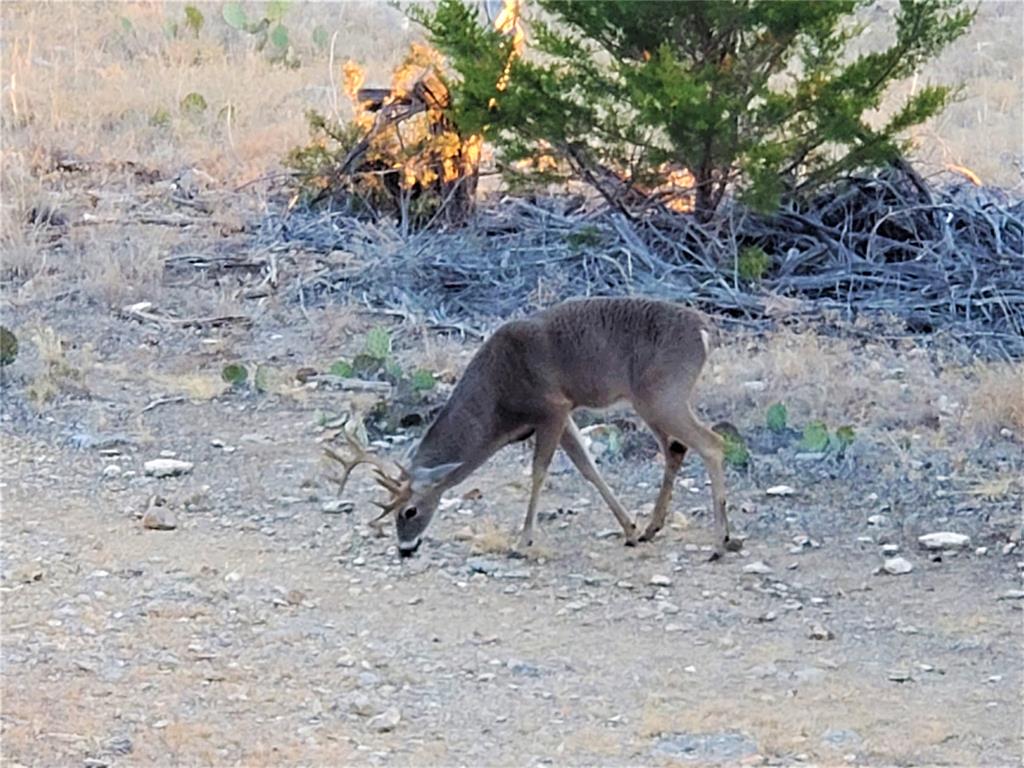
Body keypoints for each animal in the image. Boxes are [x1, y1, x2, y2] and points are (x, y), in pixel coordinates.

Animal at [329, 299, 745, 561]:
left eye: (409, 511)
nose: (405, 550)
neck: (497, 400)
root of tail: (706, 331)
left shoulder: (551, 408)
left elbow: (540, 471)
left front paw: (522, 541)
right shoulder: (564, 413)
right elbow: (588, 468)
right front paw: (629, 529)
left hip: (662, 395)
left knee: (712, 443)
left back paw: (719, 543)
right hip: (653, 401)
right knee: (676, 449)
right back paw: (653, 529)